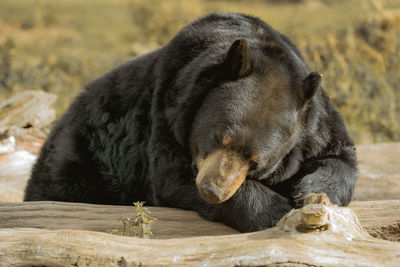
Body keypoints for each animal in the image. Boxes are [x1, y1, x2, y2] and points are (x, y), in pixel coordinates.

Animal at [24, 13, 360, 233]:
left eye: (256, 162)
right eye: (219, 137)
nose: (212, 190)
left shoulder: (314, 121)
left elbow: (339, 154)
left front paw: (310, 190)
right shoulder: (165, 108)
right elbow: (171, 175)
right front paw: (274, 211)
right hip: (80, 157)